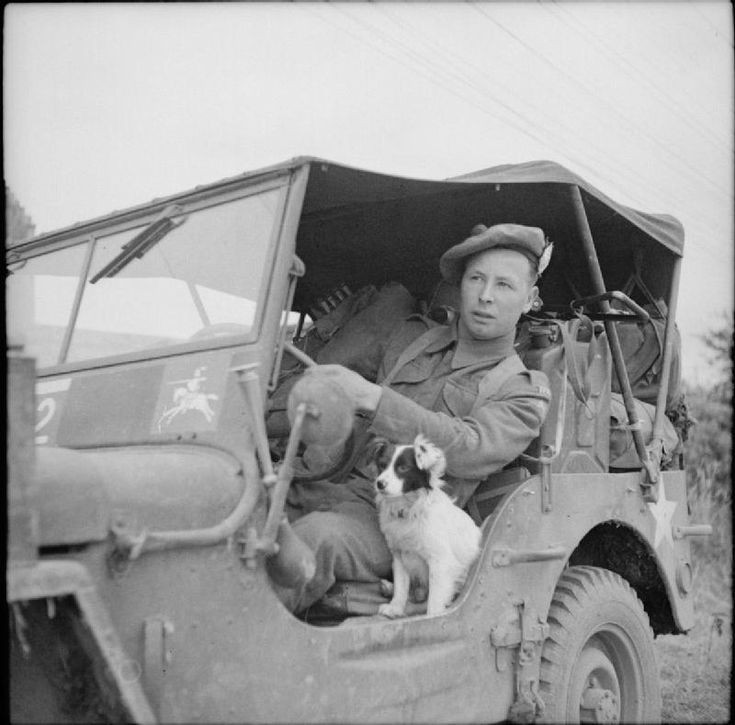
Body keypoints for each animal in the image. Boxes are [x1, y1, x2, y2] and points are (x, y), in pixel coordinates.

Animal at [374, 436, 484, 616]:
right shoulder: (399, 556)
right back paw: (389, 588)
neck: (408, 509)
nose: (379, 483)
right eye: (382, 465)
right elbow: (401, 586)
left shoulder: (440, 561)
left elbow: (435, 599)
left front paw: (433, 618)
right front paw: (395, 607)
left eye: (403, 468)